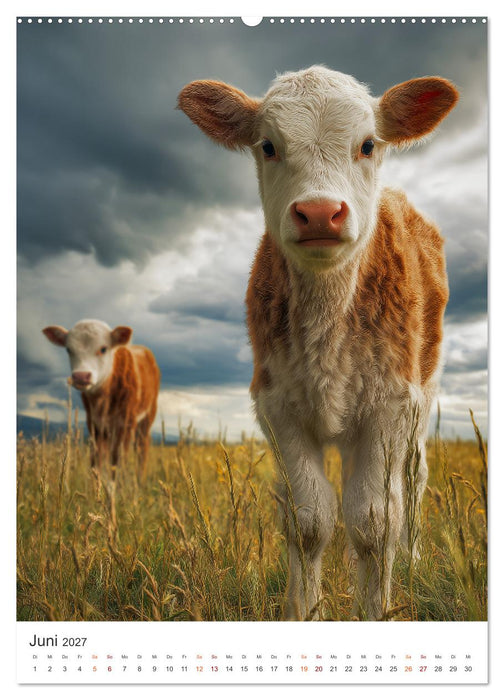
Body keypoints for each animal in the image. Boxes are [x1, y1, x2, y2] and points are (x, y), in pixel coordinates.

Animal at [43, 319, 160, 482]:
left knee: (141, 448)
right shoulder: (94, 424)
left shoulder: (126, 423)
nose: (81, 376)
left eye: (103, 349)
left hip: (147, 416)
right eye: (68, 349)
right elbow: (96, 461)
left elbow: (119, 460)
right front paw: (96, 485)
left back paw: (140, 479)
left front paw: (119, 484)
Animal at [178, 66, 457, 620]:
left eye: (367, 144)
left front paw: (376, 608)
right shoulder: (277, 404)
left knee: (411, 485)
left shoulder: (392, 404)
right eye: (268, 145)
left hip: (423, 397)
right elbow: (310, 520)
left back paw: (411, 562)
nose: (321, 212)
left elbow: (374, 522)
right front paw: (305, 609)